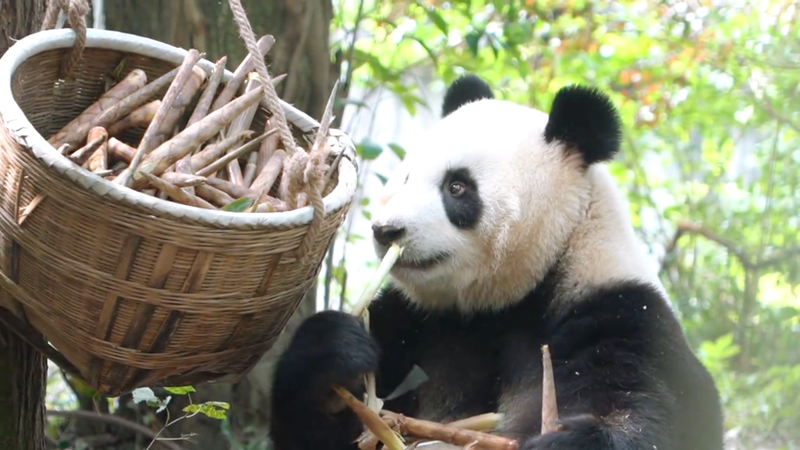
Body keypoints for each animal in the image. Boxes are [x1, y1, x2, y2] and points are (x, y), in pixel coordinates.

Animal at [269, 75, 724, 450]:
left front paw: (565, 441)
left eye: (457, 187)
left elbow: (660, 412)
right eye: (406, 178)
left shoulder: (621, 314)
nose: (386, 230)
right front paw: (335, 357)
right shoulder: (419, 325)